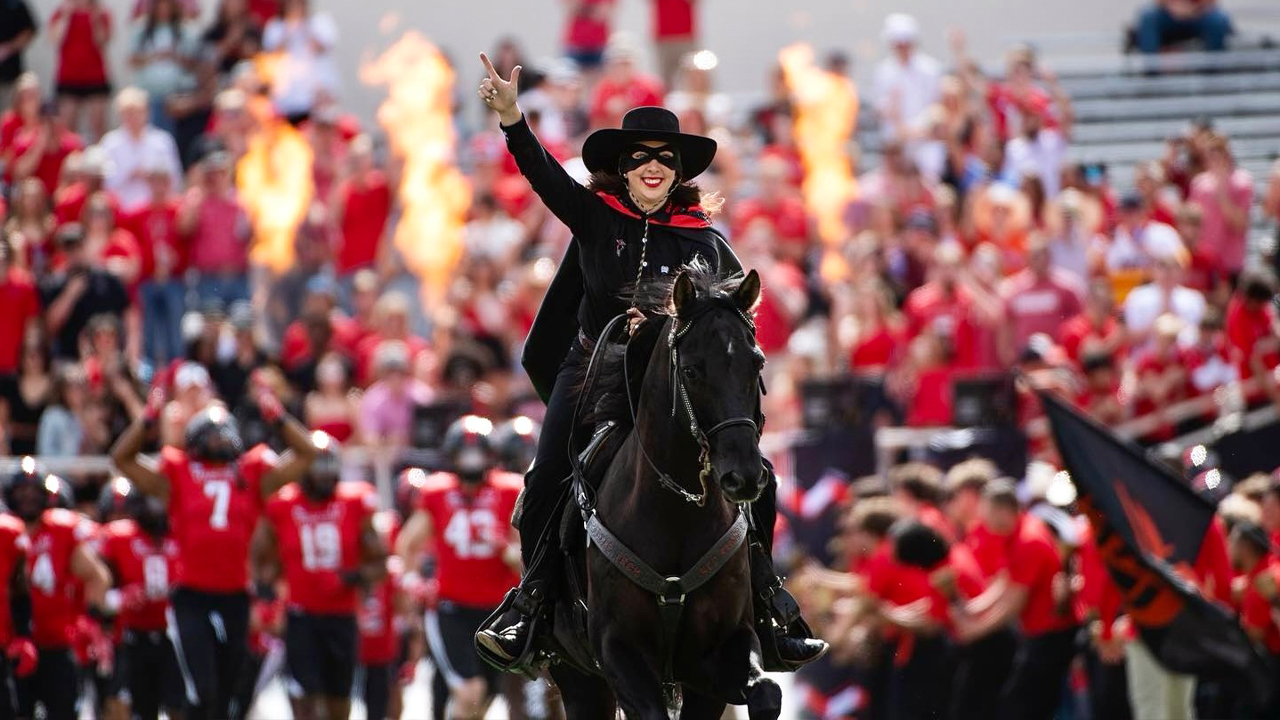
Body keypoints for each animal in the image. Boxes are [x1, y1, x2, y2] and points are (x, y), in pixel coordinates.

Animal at [540, 263, 778, 717]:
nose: (744, 477)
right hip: (577, 677)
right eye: (691, 371)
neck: (677, 514)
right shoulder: (617, 649)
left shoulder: (721, 651)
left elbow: (766, 691)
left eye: (756, 364)